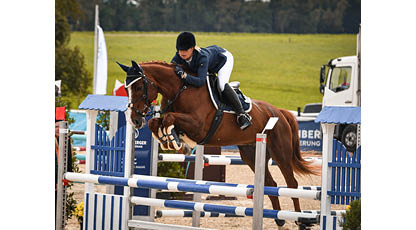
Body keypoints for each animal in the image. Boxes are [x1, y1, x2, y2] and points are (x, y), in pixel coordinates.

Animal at [117, 60, 318, 227]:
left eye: (138, 87)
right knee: (271, 183)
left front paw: (173, 139)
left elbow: (169, 118)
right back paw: (279, 219)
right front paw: (170, 138)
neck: (180, 89)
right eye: (126, 89)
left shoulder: (198, 126)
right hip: (250, 154)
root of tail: (279, 111)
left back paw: (300, 220)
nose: (135, 120)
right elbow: (156, 121)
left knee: (291, 184)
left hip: (280, 153)